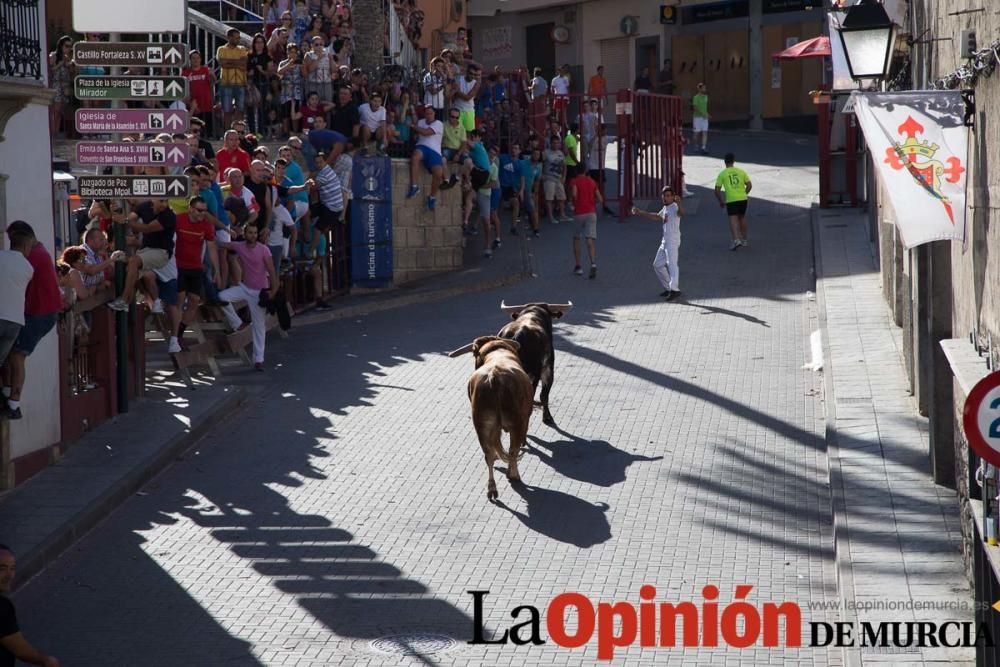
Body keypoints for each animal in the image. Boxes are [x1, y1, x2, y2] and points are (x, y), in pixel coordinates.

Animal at [460, 336, 532, 498]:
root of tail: (494, 375)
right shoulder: (524, 420)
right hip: (517, 423)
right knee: (513, 450)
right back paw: (513, 475)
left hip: (482, 425)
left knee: (489, 454)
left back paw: (492, 488)